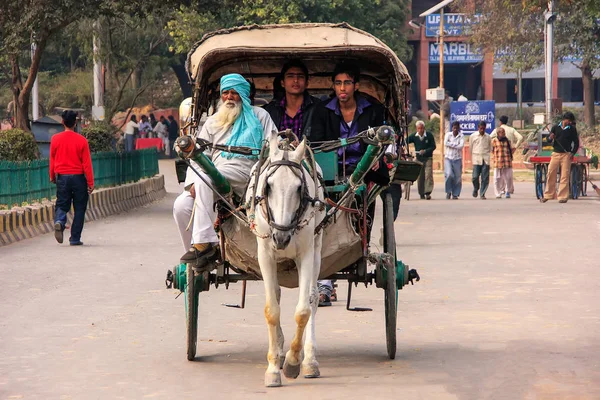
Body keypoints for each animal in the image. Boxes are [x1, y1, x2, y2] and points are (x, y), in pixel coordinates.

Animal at [246, 138, 326, 388]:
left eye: (299, 188)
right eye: (268, 186)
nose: (281, 238)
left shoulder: (307, 253)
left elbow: (303, 310)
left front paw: (293, 362)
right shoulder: (265, 253)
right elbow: (272, 309)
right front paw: (273, 368)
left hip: (317, 246)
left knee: (313, 298)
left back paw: (308, 360)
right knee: (277, 293)